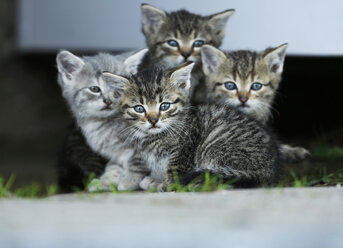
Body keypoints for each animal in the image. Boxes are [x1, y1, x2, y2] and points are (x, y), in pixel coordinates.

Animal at [102, 62, 282, 190]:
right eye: (139, 108)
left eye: (164, 106)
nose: (153, 120)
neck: (154, 137)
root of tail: (268, 172)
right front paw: (155, 180)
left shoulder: (184, 148)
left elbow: (174, 171)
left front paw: (166, 185)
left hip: (215, 145)